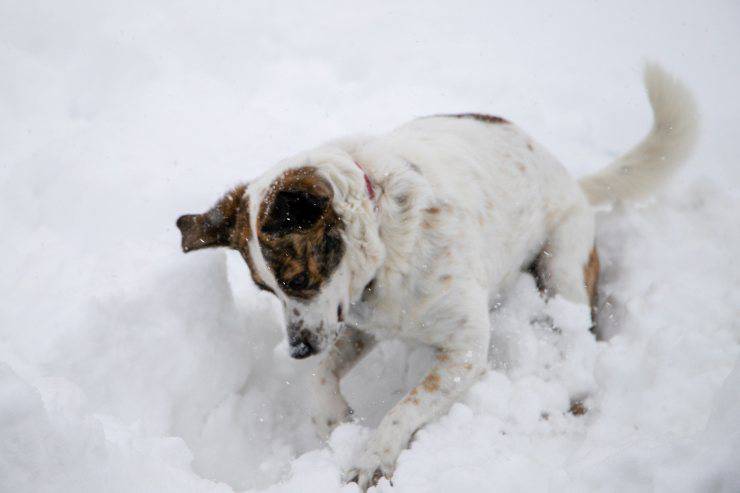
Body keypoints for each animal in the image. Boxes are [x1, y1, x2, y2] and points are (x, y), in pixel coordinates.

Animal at [176, 64, 696, 488]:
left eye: (298, 280)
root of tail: (574, 179)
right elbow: (322, 379)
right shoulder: (359, 326)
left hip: (563, 266)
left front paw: (373, 457)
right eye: (265, 289)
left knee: (578, 331)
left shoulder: (465, 349)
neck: (385, 245)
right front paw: (334, 421)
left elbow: (406, 405)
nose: (298, 350)